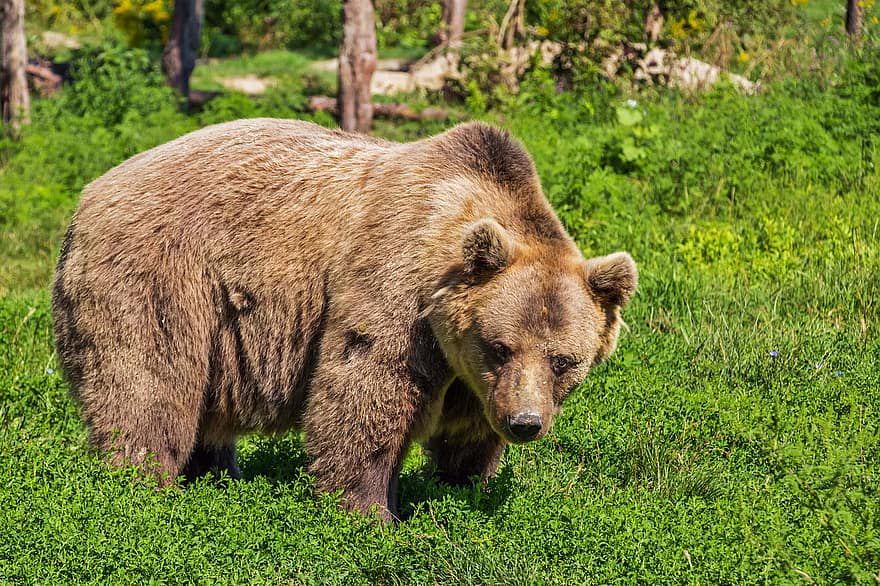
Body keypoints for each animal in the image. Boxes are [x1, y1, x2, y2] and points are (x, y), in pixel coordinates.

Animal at [53, 118, 632, 520]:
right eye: (501, 345)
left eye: (563, 361)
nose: (526, 423)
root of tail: (87, 196)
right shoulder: (398, 288)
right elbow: (364, 389)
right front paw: (372, 512)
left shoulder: (472, 373)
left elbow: (467, 431)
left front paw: (465, 486)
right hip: (159, 278)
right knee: (148, 385)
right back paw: (140, 486)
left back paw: (218, 476)